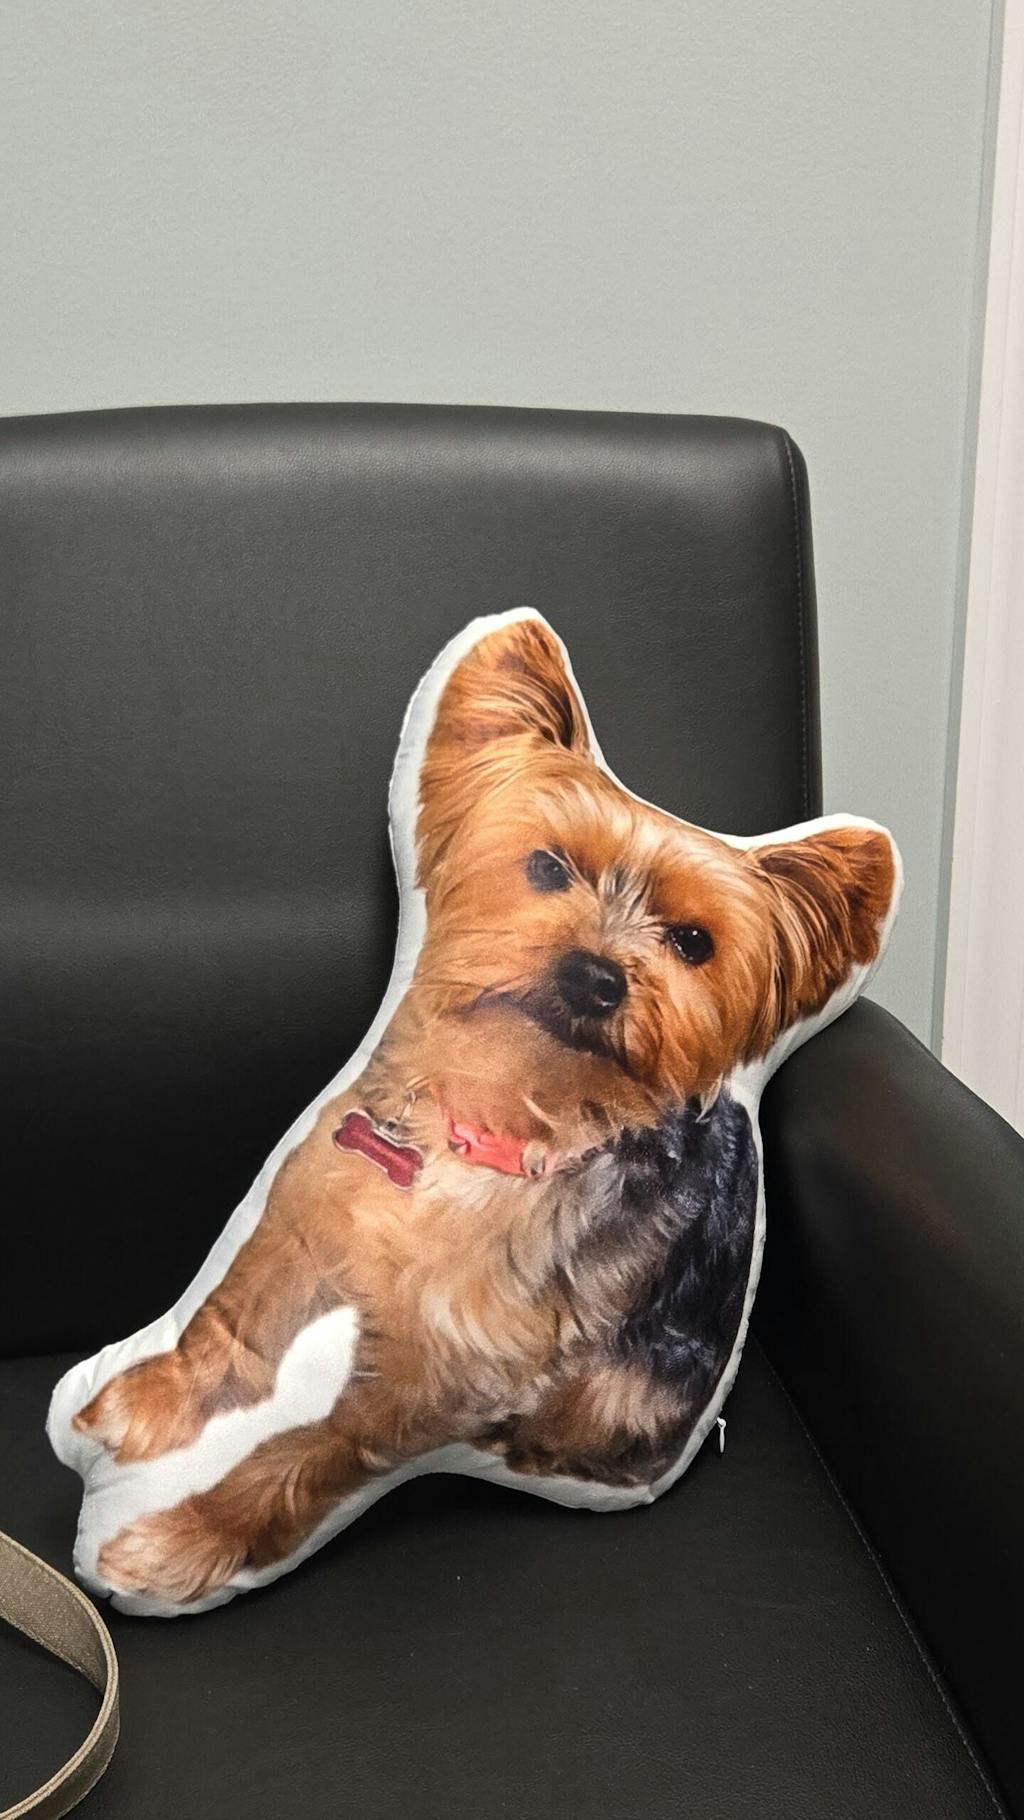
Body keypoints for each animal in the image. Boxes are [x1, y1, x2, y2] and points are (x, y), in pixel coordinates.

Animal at [72, 615, 896, 1605]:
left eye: (694, 942)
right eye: (545, 866)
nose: (597, 975)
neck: (485, 1121)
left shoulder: (432, 1381)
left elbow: (303, 1457)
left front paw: (181, 1541)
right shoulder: (300, 1227)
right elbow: (231, 1323)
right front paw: (140, 1402)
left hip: (627, 1387)